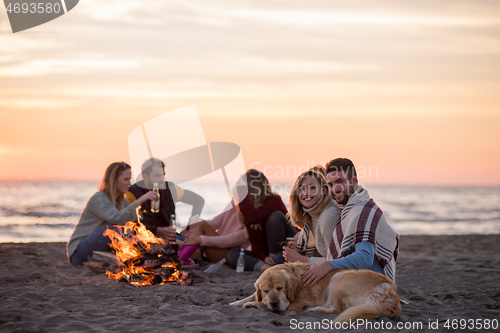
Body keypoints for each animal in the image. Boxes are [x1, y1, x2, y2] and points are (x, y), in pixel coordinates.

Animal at [229, 262, 400, 322]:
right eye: (265, 290)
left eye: (280, 288)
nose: (274, 302)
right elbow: (252, 295)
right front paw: (236, 302)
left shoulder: (299, 303)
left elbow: (271, 307)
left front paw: (256, 304)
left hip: (339, 278)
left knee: (340, 309)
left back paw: (315, 309)